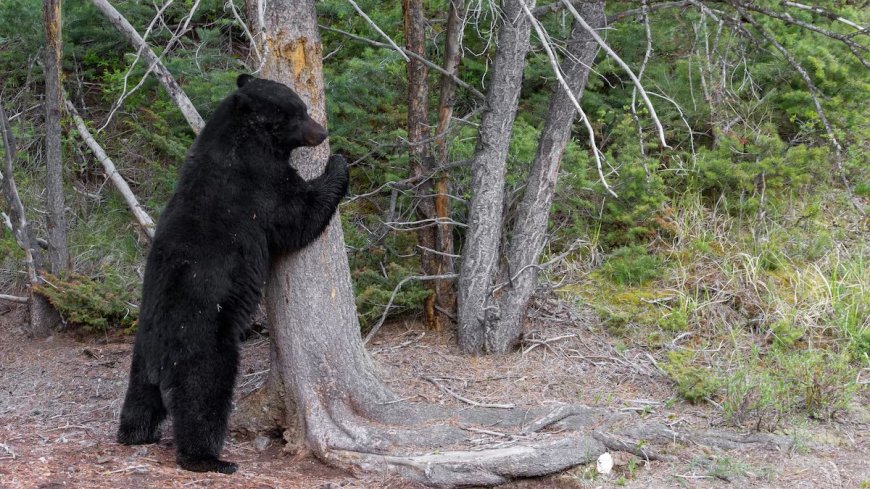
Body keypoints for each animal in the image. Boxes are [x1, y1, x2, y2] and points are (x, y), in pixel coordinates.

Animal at [117, 73, 350, 472]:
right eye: (298, 112)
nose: (322, 133)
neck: (240, 138)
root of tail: (161, 359)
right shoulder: (258, 184)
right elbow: (297, 215)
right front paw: (337, 165)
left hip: (140, 356)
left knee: (140, 398)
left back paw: (136, 434)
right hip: (204, 346)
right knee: (202, 397)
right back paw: (209, 458)